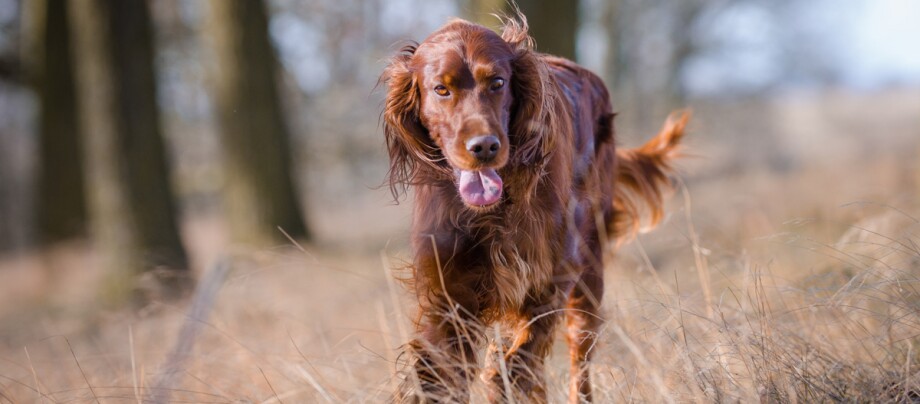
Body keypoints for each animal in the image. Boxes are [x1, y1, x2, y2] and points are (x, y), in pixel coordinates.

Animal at [378, 14, 688, 402]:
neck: (491, 212)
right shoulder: (447, 297)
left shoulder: (546, 280)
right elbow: (439, 377)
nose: (484, 147)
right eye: (441, 89)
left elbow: (515, 366)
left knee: (577, 356)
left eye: (497, 82)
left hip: (588, 274)